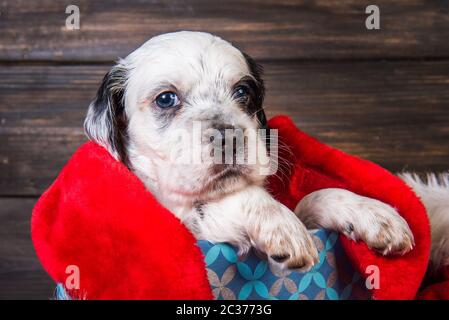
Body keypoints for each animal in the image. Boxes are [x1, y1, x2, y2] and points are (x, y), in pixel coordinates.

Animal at [83, 31, 444, 274]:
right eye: (166, 99)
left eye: (243, 91)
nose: (228, 136)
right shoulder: (186, 224)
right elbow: (245, 199)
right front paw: (279, 223)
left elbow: (313, 198)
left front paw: (371, 213)